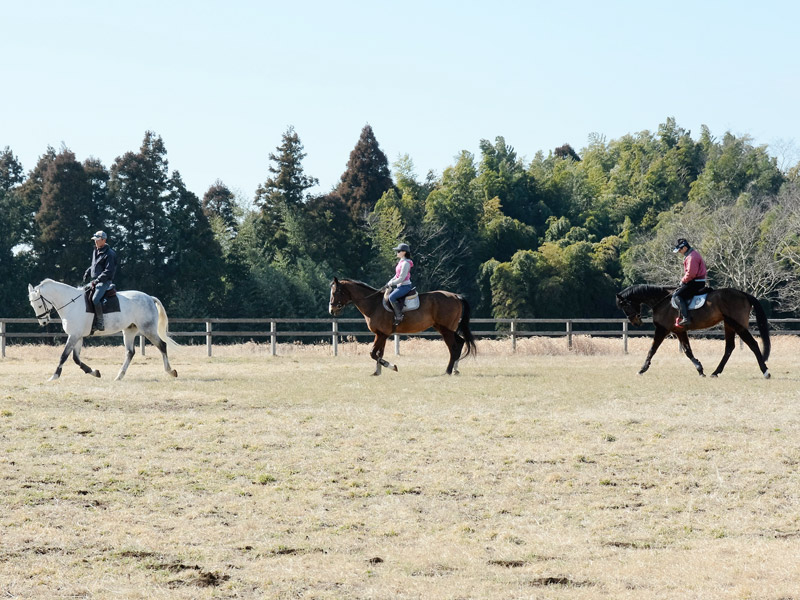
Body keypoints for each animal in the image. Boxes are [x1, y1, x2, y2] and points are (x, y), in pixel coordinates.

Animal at [28, 280, 180, 382]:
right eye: (32, 305)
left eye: (39, 305)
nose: (43, 322)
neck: (71, 303)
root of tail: (149, 297)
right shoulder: (78, 336)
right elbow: (76, 358)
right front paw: (94, 372)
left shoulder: (73, 335)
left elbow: (64, 356)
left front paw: (54, 376)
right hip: (129, 330)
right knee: (130, 352)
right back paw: (119, 376)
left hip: (148, 329)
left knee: (162, 345)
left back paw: (170, 371)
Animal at [326, 278, 476, 376]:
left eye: (336, 292)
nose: (332, 310)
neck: (374, 304)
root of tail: (456, 296)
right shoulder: (381, 335)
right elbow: (379, 353)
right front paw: (377, 372)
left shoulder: (382, 334)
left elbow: (373, 353)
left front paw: (392, 367)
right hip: (445, 329)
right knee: (461, 342)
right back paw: (455, 369)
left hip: (446, 330)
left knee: (454, 348)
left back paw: (448, 371)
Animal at [616, 284, 772, 378]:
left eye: (625, 306)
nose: (636, 322)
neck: (662, 302)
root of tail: (743, 294)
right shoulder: (679, 331)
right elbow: (687, 351)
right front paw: (700, 369)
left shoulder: (662, 329)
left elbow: (652, 349)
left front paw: (642, 369)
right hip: (729, 325)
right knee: (729, 347)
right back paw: (715, 372)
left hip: (738, 325)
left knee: (753, 344)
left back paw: (765, 371)